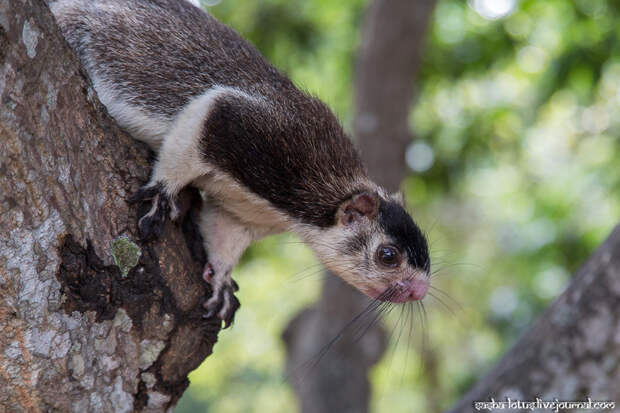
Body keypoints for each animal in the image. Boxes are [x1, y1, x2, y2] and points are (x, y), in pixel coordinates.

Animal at [50, 0, 432, 328]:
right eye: (388, 255)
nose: (420, 291)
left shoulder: (242, 215)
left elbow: (224, 237)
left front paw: (221, 282)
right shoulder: (258, 139)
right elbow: (204, 118)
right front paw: (163, 194)